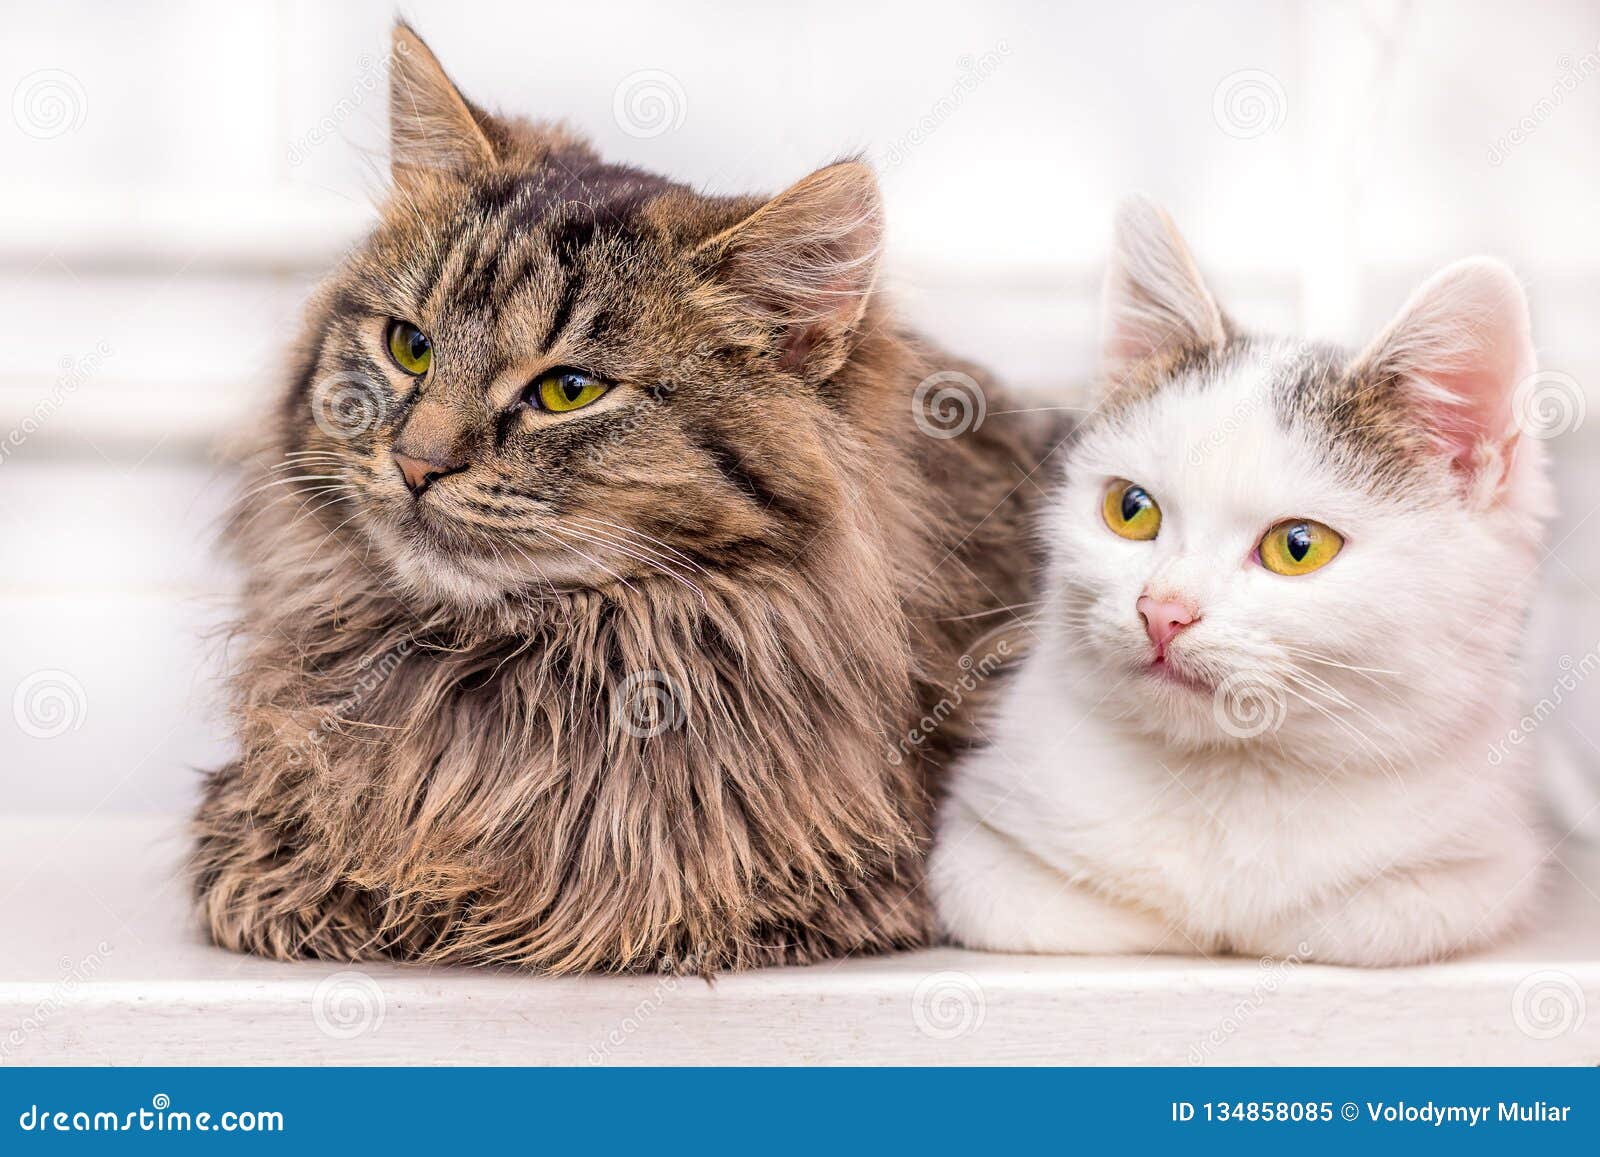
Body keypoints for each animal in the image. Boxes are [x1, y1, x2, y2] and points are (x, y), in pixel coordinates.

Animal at [193, 22, 1056, 972]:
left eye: (568, 390)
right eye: (410, 346)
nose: (418, 463)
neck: (521, 655)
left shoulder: (828, 882)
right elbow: (255, 852)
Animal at [934, 201, 1555, 966]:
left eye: (1299, 546)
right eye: (1131, 509)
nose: (1162, 609)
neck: (1226, 776)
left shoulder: (1484, 862)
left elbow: (1352, 919)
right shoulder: (977, 849)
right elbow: (1059, 909)